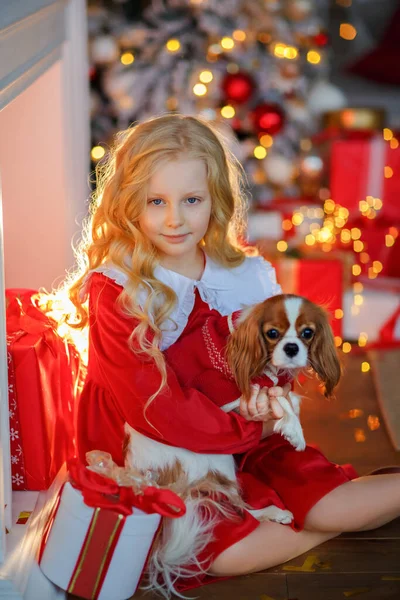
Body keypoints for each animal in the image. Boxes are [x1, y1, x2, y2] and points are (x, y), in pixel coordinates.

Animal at [126, 292, 340, 596]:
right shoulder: (219, 389)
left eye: (307, 333)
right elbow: (277, 398)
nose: (291, 348)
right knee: (239, 505)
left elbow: (286, 396)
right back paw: (274, 512)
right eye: (272, 333)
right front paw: (294, 430)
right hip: (219, 458)